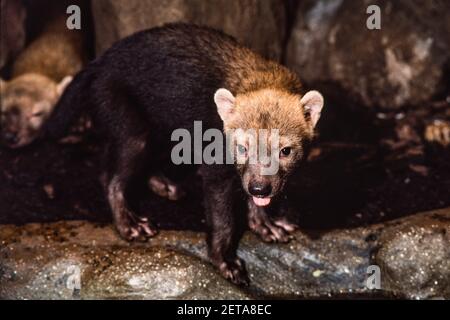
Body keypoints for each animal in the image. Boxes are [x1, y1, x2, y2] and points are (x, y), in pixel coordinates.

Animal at [39, 24, 324, 284]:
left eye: (285, 150)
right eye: (242, 147)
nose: (260, 187)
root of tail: (98, 61)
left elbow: (254, 206)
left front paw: (268, 226)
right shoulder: (214, 169)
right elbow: (223, 221)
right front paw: (226, 263)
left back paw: (165, 186)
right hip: (132, 130)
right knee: (110, 177)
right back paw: (131, 225)